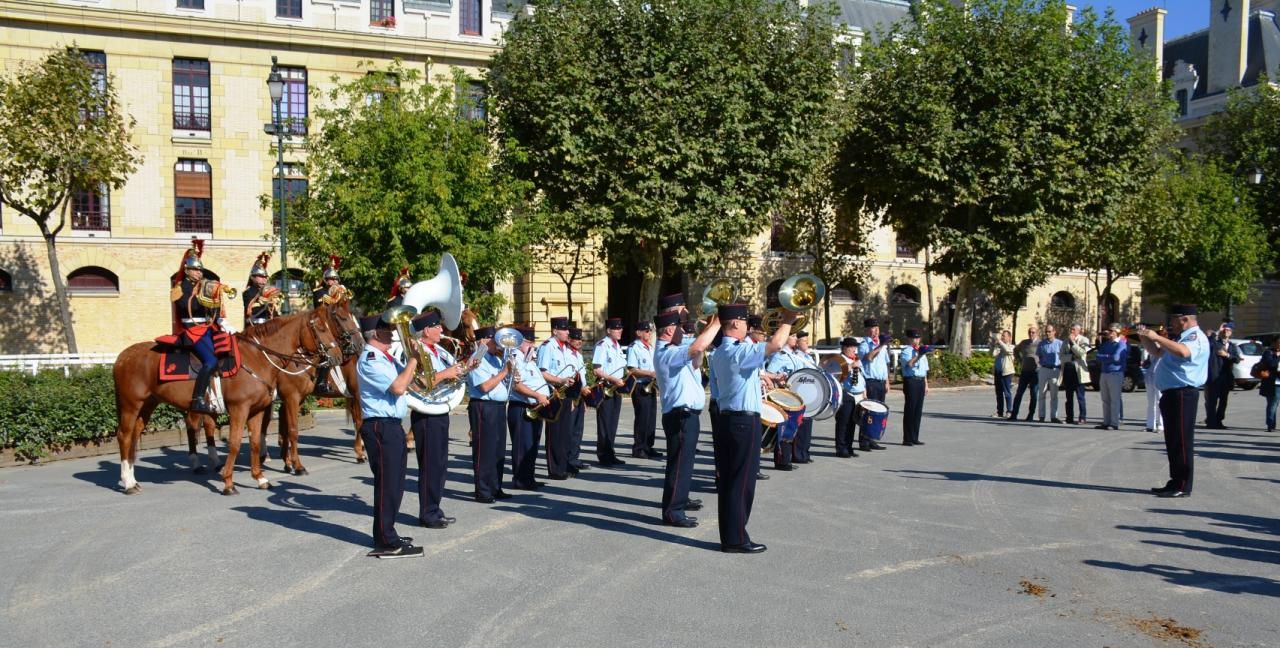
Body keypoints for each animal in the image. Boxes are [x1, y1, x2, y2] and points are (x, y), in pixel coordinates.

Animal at [113, 311, 343, 494]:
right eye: (321, 328)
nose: (339, 355)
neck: (257, 358)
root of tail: (123, 356)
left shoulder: (257, 411)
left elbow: (255, 442)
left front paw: (260, 477)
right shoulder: (241, 409)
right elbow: (234, 444)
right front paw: (228, 483)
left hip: (147, 404)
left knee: (135, 436)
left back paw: (132, 478)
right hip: (131, 404)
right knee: (125, 436)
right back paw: (128, 483)